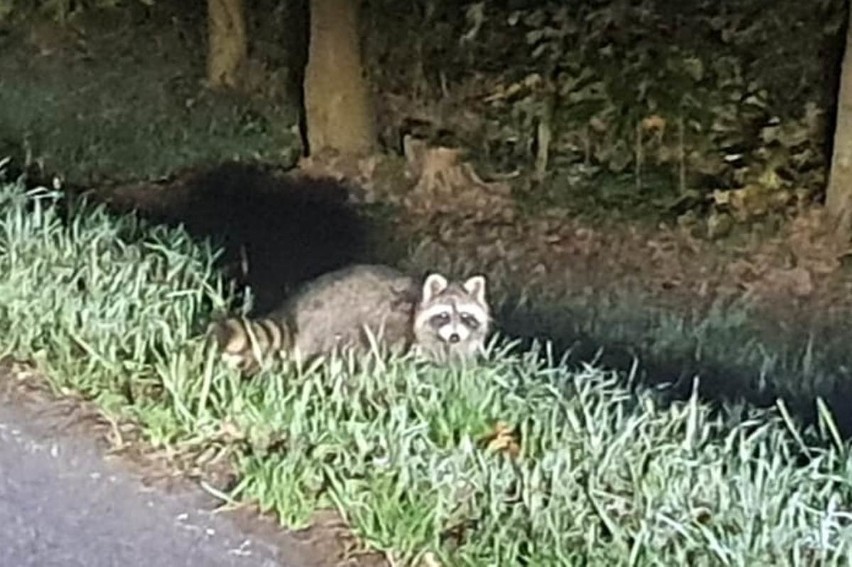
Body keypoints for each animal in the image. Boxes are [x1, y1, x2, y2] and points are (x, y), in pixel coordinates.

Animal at [208, 264, 492, 370]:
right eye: (443, 315)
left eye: (465, 316)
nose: (454, 336)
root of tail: (296, 306)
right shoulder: (402, 327)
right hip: (336, 326)